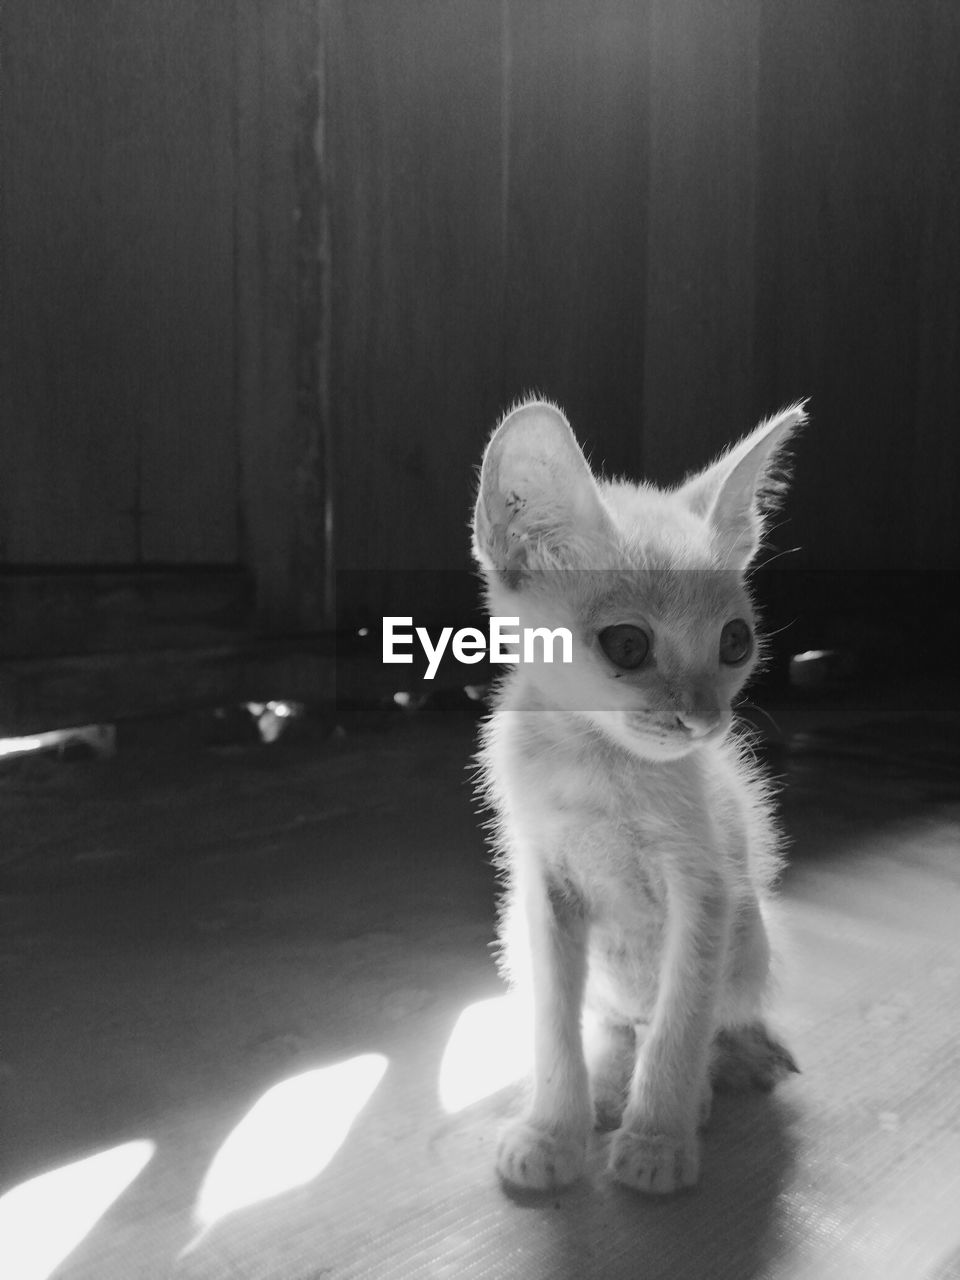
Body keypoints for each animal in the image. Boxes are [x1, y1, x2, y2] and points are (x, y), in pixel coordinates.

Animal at [473, 396, 803, 1187]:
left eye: (736, 641)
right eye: (628, 645)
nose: (704, 720)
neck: (594, 762)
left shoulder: (707, 888)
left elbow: (684, 1019)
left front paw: (657, 1139)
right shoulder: (542, 886)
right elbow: (554, 1023)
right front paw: (553, 1130)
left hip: (752, 932)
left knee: (698, 1013)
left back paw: (717, 1072)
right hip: (518, 935)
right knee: (618, 1018)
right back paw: (609, 1074)